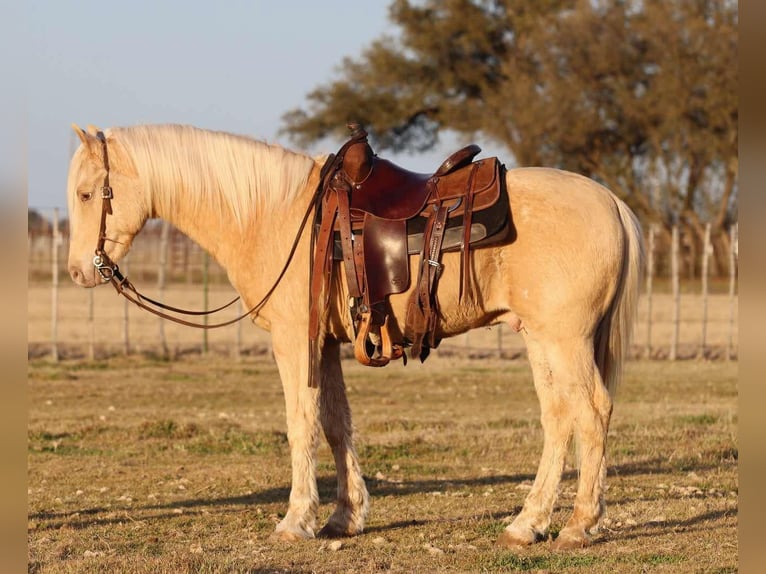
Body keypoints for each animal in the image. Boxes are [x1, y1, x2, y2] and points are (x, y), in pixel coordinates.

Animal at [66, 123, 643, 550]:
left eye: (88, 193)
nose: (78, 272)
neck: (275, 214)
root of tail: (610, 201)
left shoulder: (294, 341)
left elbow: (301, 422)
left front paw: (296, 520)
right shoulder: (324, 344)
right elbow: (336, 424)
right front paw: (345, 516)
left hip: (564, 341)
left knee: (592, 411)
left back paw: (578, 524)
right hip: (541, 340)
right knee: (560, 417)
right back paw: (529, 523)